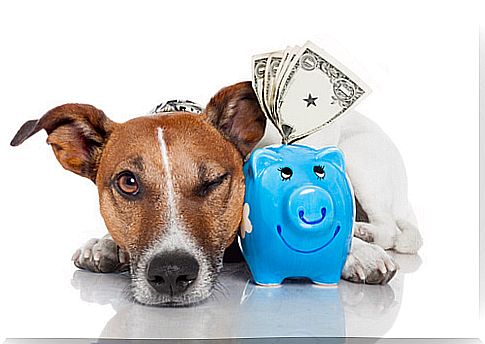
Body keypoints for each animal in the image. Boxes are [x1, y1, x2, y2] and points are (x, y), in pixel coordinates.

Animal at [10, 81, 420, 306]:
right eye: (128, 183)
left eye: (213, 181)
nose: (171, 273)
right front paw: (105, 244)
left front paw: (357, 253)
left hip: (362, 162)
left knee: (387, 227)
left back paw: (365, 234)